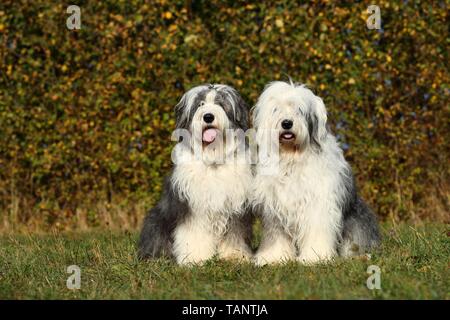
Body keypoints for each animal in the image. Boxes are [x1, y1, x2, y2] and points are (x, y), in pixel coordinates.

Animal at [138, 83, 253, 264]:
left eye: (220, 104)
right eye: (200, 104)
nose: (208, 117)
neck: (212, 160)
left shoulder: (235, 205)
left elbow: (234, 233)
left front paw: (234, 256)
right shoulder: (192, 204)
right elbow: (194, 233)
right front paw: (195, 258)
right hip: (156, 219)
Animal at [253, 80, 380, 264]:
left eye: (299, 110)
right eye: (276, 109)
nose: (287, 123)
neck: (292, 158)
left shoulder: (318, 204)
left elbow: (316, 231)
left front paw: (314, 257)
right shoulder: (275, 207)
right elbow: (276, 236)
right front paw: (274, 257)